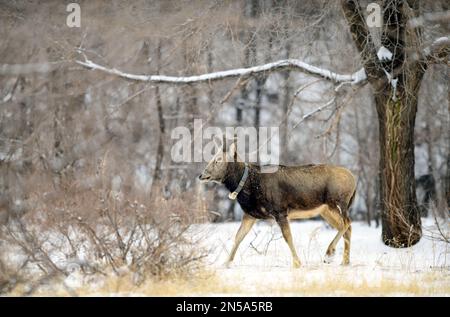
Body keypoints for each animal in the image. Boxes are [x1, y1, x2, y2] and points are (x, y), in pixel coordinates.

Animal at [199, 136, 356, 266]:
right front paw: (226, 263)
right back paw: (345, 261)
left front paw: (297, 263)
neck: (248, 186)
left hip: (337, 202)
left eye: (218, 159)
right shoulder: (250, 214)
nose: (202, 175)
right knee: (346, 227)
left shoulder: (279, 210)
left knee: (346, 223)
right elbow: (238, 237)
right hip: (325, 210)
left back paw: (329, 255)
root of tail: (354, 180)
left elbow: (287, 237)